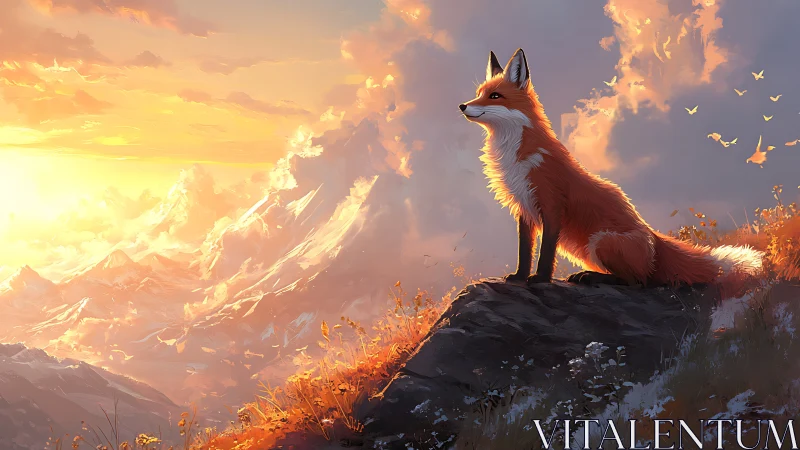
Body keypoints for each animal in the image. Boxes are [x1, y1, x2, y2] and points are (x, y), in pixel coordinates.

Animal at [459, 48, 764, 287]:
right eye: (479, 94)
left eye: (495, 96)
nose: (462, 105)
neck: (517, 153)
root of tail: (653, 236)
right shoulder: (524, 208)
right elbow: (525, 250)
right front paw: (520, 277)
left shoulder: (552, 203)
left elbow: (546, 252)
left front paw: (541, 279)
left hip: (602, 242)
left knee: (638, 281)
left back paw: (591, 277)